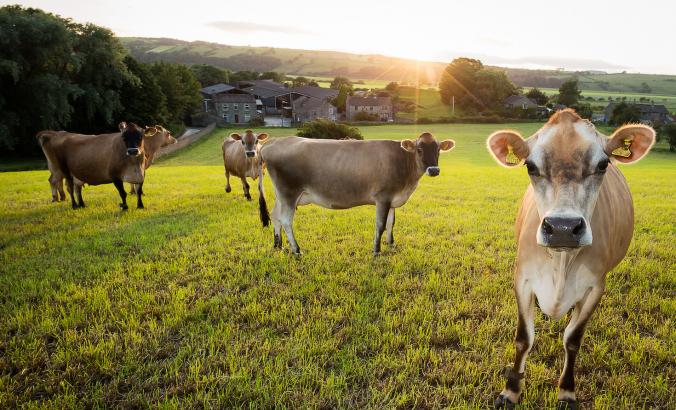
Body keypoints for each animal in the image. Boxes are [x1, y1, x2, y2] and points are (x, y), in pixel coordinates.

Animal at [258, 132, 454, 253]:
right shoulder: (383, 197)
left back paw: (278, 245)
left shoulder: (392, 198)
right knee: (286, 220)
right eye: (419, 149)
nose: (434, 170)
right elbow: (381, 225)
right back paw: (297, 250)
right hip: (289, 192)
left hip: (281, 195)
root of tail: (273, 141)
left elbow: (391, 223)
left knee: (275, 215)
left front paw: (391, 244)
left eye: (438, 149)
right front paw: (376, 250)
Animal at [486, 109, 656, 410]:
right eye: (531, 166)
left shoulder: (595, 287)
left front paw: (566, 391)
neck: (561, 264)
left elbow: (573, 340)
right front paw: (510, 391)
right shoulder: (522, 280)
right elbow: (523, 338)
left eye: (602, 164)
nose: (562, 227)